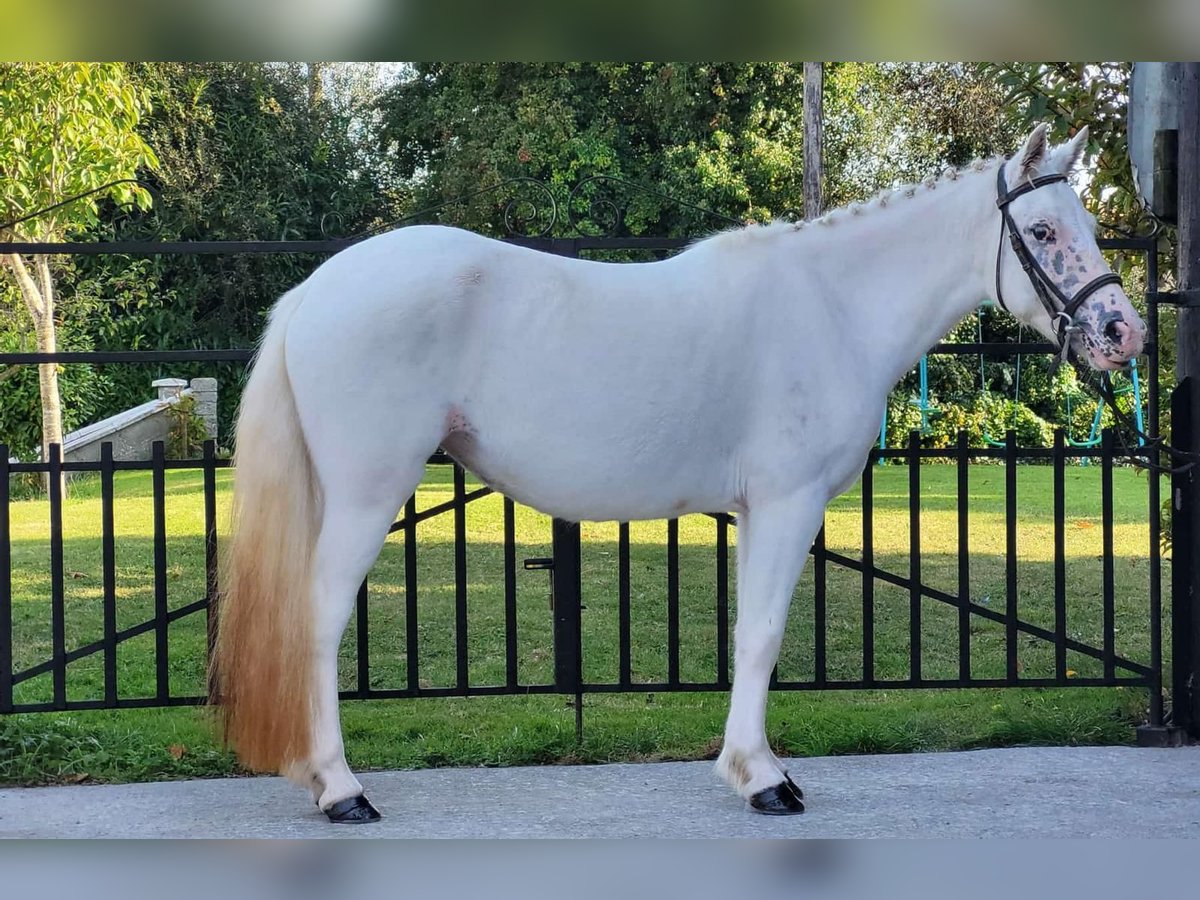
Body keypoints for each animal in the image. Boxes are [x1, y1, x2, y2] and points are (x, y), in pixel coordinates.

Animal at [213, 127, 1142, 825]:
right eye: (1045, 232)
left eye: (1091, 223)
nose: (1122, 331)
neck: (832, 307)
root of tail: (318, 289)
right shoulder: (788, 503)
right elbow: (764, 634)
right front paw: (764, 780)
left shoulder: (753, 512)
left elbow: (746, 636)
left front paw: (747, 765)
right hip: (368, 493)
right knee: (319, 619)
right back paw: (341, 790)